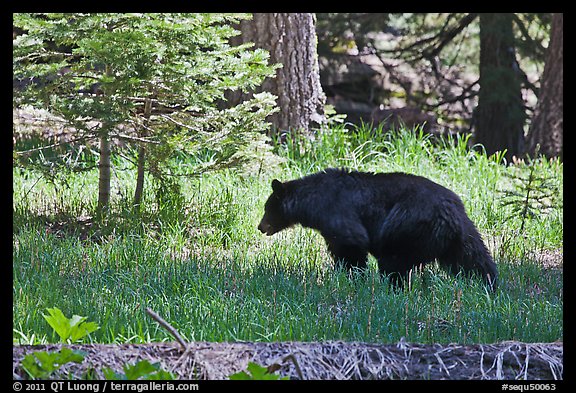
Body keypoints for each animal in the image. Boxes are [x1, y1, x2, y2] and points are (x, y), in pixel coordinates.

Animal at [258, 167, 498, 290]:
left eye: (267, 208)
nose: (260, 227)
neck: (312, 202)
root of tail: (452, 214)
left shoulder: (337, 211)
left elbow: (351, 244)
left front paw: (351, 277)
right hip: (462, 235)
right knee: (475, 259)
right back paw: (489, 284)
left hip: (406, 229)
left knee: (394, 264)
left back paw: (393, 288)